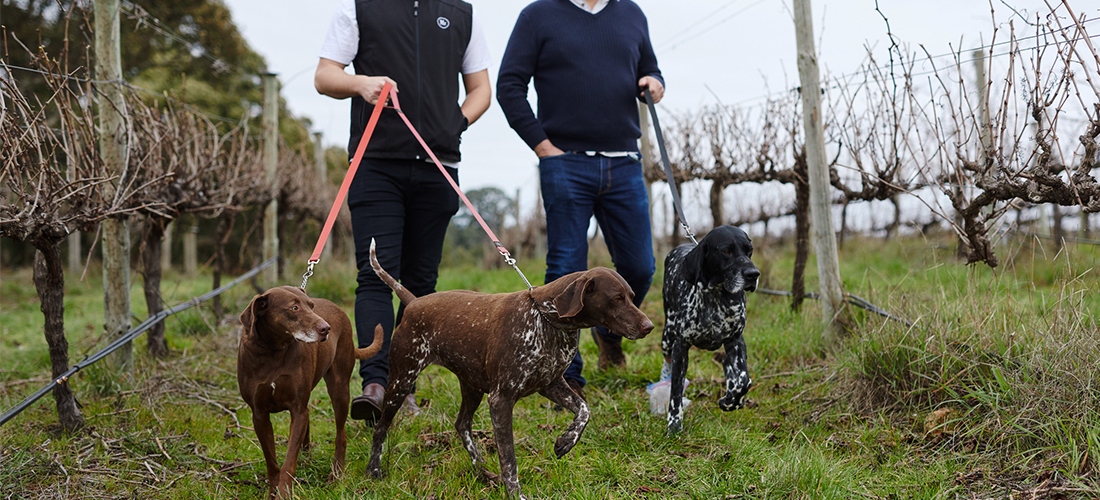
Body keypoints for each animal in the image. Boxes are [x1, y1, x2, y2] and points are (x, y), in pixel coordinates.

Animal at [236, 287, 382, 498]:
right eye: (294, 308)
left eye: (311, 306)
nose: (326, 328)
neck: (273, 350)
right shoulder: (259, 415)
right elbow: (271, 461)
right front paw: (273, 491)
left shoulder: (297, 409)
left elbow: (289, 461)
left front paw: (284, 493)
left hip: (339, 388)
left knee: (341, 435)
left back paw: (336, 474)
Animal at [365, 240, 651, 498]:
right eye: (617, 298)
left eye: (632, 297)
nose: (649, 326)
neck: (546, 320)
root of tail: (413, 303)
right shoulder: (501, 400)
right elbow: (509, 459)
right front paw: (514, 493)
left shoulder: (551, 384)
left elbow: (584, 410)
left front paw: (567, 441)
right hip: (402, 381)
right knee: (380, 428)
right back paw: (373, 471)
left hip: (472, 386)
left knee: (461, 424)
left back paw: (481, 470)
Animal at [660, 226, 756, 435]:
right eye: (726, 251)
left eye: (749, 250)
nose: (754, 274)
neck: (716, 295)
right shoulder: (680, 347)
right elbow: (675, 392)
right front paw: (674, 425)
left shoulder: (735, 341)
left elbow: (743, 381)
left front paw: (730, 401)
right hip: (667, 338)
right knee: (667, 364)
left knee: (729, 367)